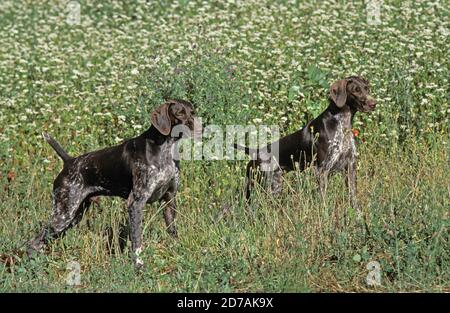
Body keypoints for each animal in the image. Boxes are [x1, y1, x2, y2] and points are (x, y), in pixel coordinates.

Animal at [27, 98, 202, 266]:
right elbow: (137, 239)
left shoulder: (169, 199)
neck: (165, 149)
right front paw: (138, 265)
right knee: (33, 243)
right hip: (64, 213)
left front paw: (178, 253)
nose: (200, 128)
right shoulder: (136, 203)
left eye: (192, 112)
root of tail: (69, 161)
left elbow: (172, 231)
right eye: (179, 113)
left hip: (74, 215)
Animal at [236, 76, 376, 222]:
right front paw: (325, 218)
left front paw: (359, 217)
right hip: (255, 187)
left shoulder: (350, 167)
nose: (374, 104)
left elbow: (353, 198)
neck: (342, 123)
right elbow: (323, 200)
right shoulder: (322, 170)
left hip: (275, 186)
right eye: (356, 90)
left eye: (367, 88)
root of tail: (255, 152)